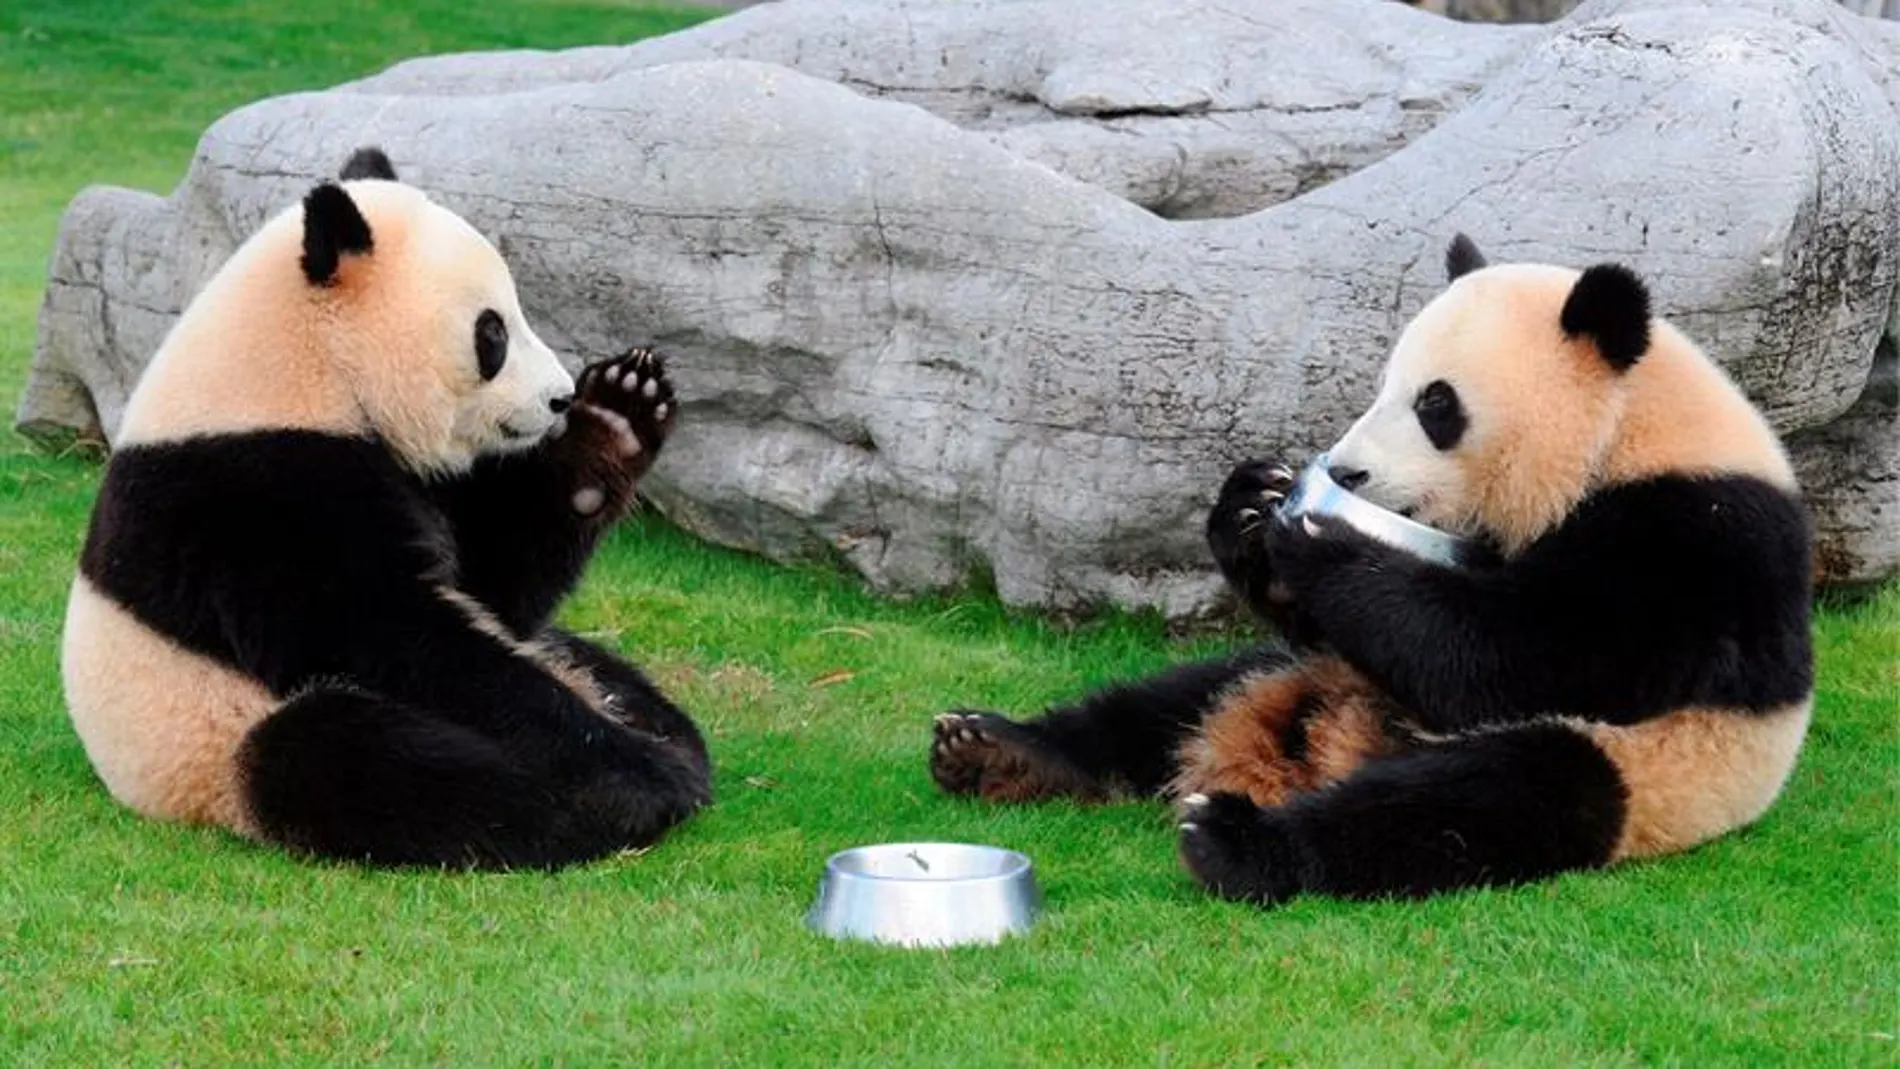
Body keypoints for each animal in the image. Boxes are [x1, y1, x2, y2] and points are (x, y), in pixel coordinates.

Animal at [62, 147, 712, 870]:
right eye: (492, 332)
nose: (559, 398)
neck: (305, 368)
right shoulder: (250, 495)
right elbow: (388, 634)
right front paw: (631, 768)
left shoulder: (409, 475)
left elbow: (493, 581)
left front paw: (617, 417)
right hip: (211, 739)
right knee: (351, 758)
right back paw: (611, 797)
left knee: (599, 671)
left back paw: (666, 735)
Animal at [928, 235, 1814, 904]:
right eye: (1385, 385)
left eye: (1435, 404)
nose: (1348, 471)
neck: (1630, 428)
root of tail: (1321, 745)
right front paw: (1251, 507)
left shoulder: (1695, 541)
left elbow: (1525, 656)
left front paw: (1318, 540)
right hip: (1295, 669)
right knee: (1170, 700)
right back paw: (997, 748)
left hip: (1648, 769)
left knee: (1476, 800)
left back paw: (1237, 842)